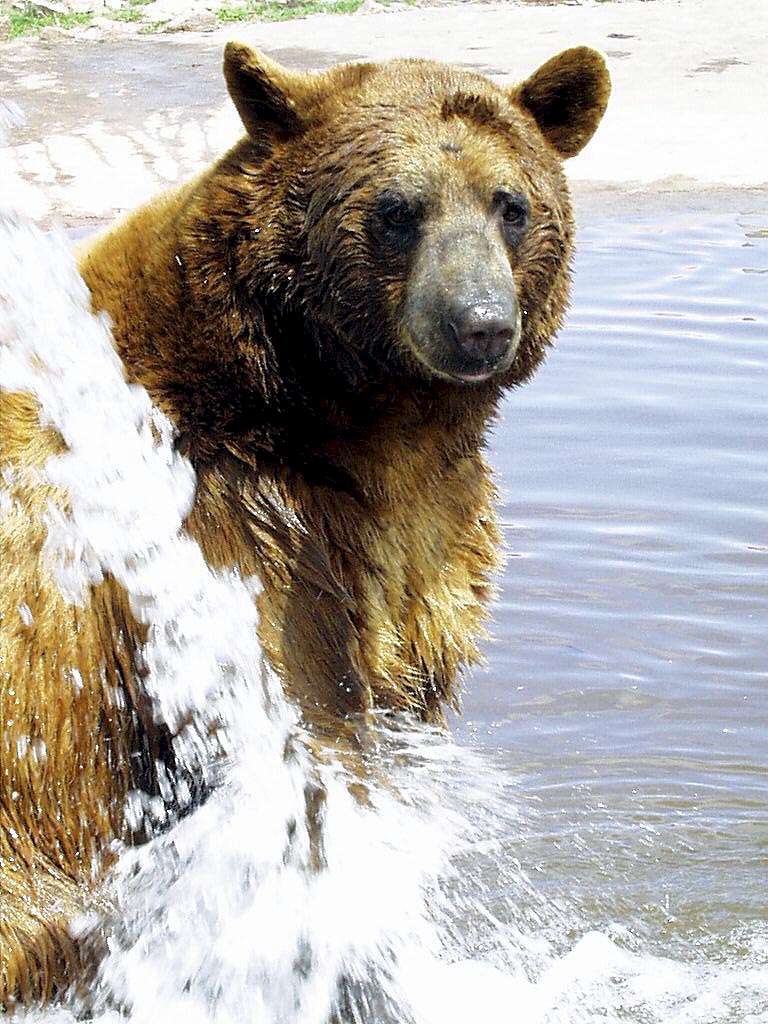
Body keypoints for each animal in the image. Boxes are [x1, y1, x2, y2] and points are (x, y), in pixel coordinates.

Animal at [0, 42, 610, 1005]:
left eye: (510, 204)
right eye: (398, 208)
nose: (478, 323)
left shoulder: (412, 566)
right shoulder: (242, 553)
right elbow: (317, 773)